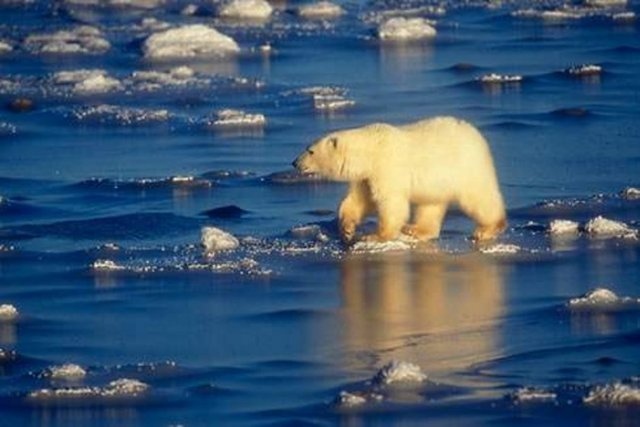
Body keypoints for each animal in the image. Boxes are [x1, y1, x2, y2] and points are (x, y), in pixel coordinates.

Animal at [292, 116, 508, 244]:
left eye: (310, 151)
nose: (294, 163)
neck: (370, 150)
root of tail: (476, 135)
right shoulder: (367, 176)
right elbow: (359, 200)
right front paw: (347, 230)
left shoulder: (386, 168)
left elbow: (391, 203)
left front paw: (375, 235)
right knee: (430, 205)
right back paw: (416, 229)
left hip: (466, 168)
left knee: (479, 197)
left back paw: (487, 229)